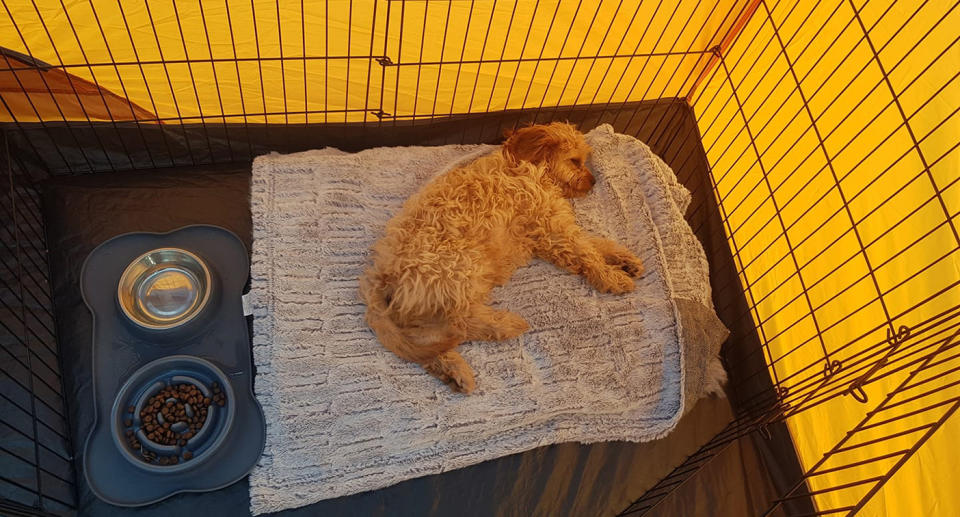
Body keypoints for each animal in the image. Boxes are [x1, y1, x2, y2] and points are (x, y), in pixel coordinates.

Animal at [360, 123, 644, 394]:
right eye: (575, 161)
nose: (594, 181)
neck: (532, 169)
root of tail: (380, 279)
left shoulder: (552, 230)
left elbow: (593, 242)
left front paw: (624, 259)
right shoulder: (552, 230)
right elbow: (586, 251)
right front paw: (612, 277)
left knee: (425, 341)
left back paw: (454, 371)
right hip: (461, 270)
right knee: (459, 324)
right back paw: (504, 326)